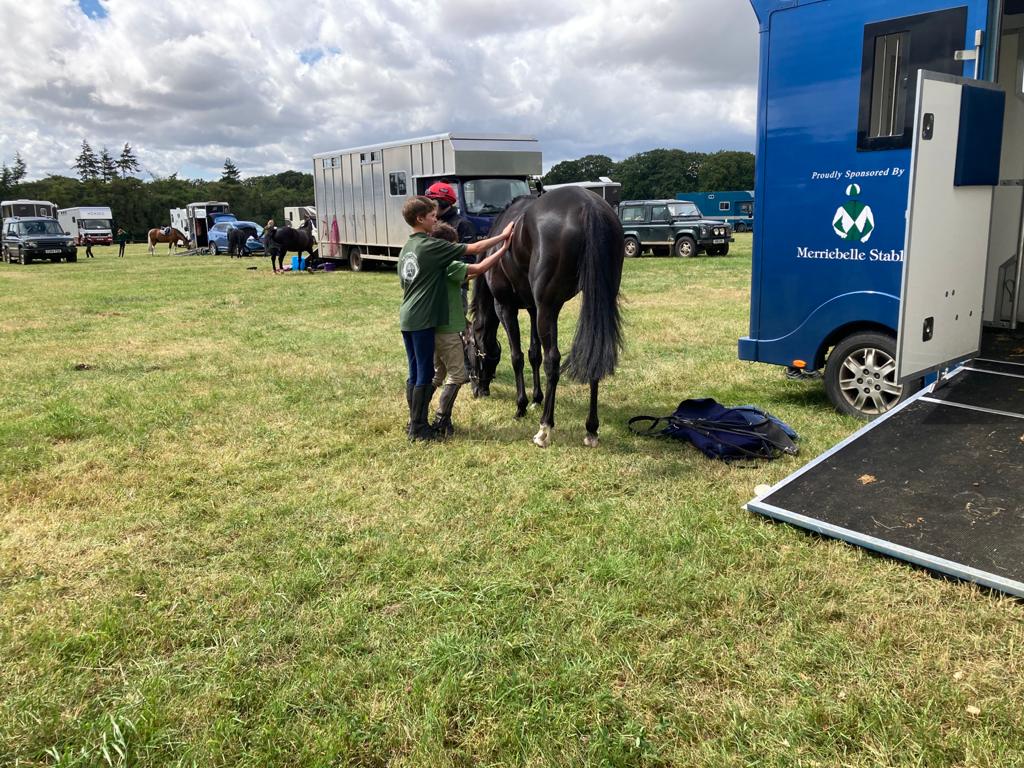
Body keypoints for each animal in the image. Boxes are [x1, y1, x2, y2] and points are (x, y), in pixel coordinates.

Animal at [468, 186, 622, 448]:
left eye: (469, 351)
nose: (478, 390)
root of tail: (588, 205)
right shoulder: (533, 308)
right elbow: (533, 354)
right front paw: (536, 399)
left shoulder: (506, 307)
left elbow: (518, 356)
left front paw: (521, 406)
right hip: (592, 302)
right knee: (593, 356)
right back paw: (591, 428)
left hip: (548, 308)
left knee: (553, 360)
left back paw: (545, 428)